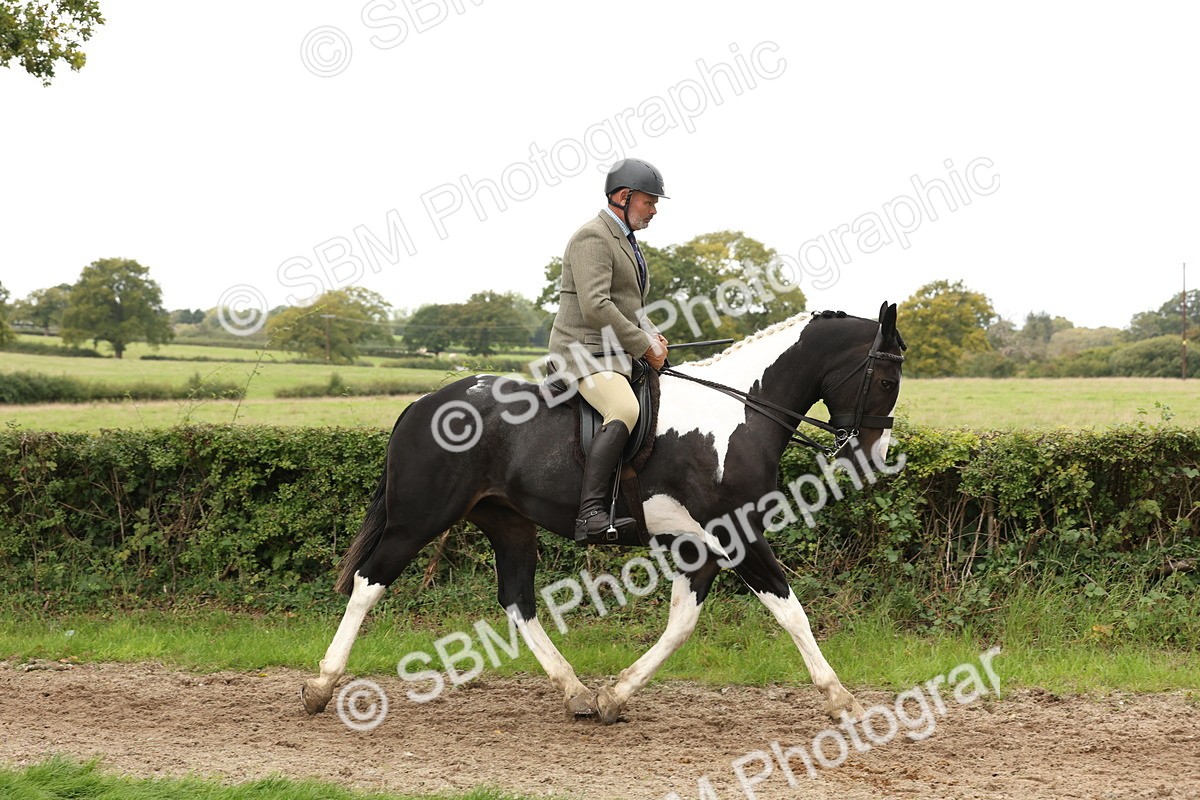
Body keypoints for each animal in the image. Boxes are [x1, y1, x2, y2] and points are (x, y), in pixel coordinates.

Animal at [301, 302, 906, 724]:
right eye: (885, 379)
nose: (875, 457)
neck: (736, 414)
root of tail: (422, 402)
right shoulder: (737, 535)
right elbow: (791, 611)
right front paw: (843, 701)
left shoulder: (701, 544)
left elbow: (682, 623)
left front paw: (615, 695)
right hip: (418, 521)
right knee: (368, 583)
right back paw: (321, 687)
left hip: (509, 523)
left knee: (517, 601)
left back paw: (576, 693)